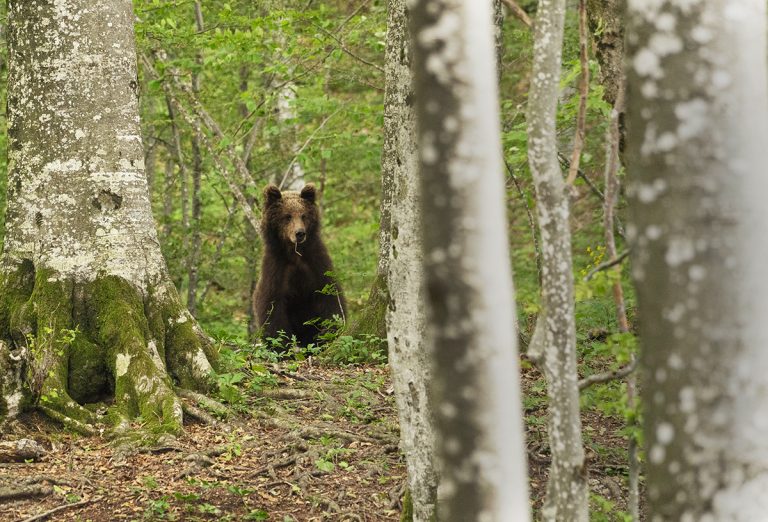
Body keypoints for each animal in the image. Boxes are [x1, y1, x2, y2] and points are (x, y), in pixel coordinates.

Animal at [254, 182, 346, 346]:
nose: (300, 233)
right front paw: (279, 344)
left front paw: (329, 333)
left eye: (303, 215)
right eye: (287, 216)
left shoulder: (316, 264)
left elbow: (330, 298)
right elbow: (272, 308)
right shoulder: (277, 268)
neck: (294, 254)